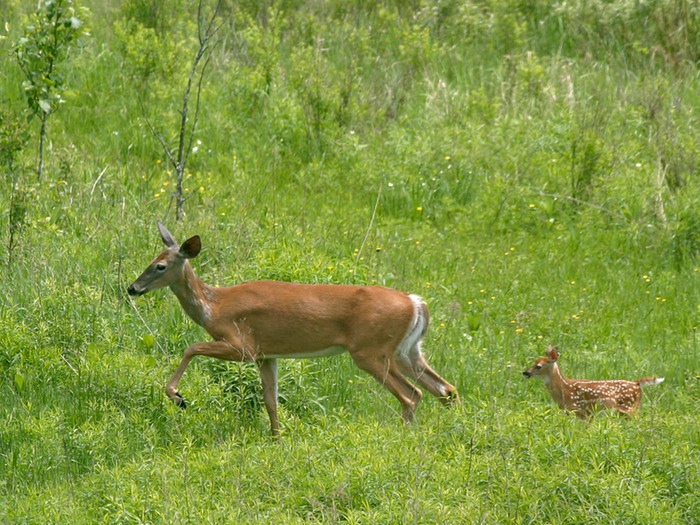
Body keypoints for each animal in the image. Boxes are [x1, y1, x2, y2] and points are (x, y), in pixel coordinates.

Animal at [126, 221, 460, 434]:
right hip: (408, 351)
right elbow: (271, 401)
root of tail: (416, 302)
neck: (214, 307)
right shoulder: (267, 355)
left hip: (372, 350)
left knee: (412, 394)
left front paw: (177, 396)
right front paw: (276, 439)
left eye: (160, 266)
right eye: (150, 260)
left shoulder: (243, 346)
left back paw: (404, 439)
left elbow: (191, 347)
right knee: (445, 389)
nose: (132, 288)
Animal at [524, 344, 664, 418]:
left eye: (538, 366)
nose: (525, 372)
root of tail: (637, 383)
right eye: (534, 362)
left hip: (630, 409)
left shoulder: (582, 411)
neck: (565, 389)